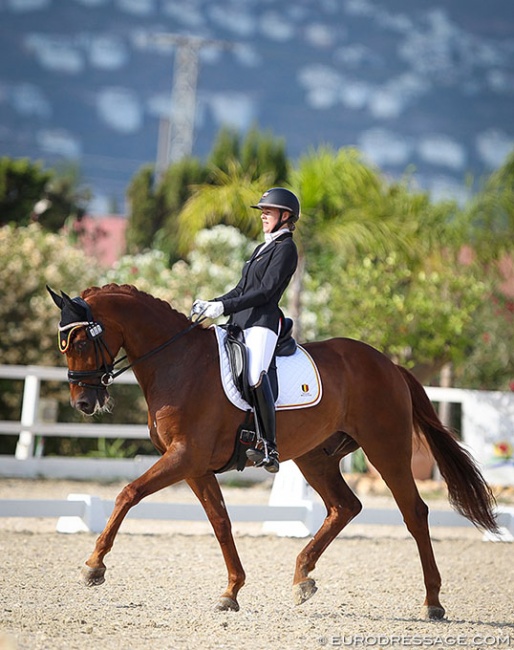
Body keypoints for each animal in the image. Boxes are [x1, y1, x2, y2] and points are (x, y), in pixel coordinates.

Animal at [48, 284, 496, 616]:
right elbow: (221, 522)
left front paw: (94, 567)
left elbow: (128, 493)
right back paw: (303, 578)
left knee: (414, 513)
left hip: (386, 449)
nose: (83, 403)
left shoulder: (184, 456)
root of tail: (389, 365)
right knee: (345, 507)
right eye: (64, 343)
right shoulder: (195, 466)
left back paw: (433, 602)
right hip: (315, 457)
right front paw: (231, 592)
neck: (178, 362)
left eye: (80, 340)